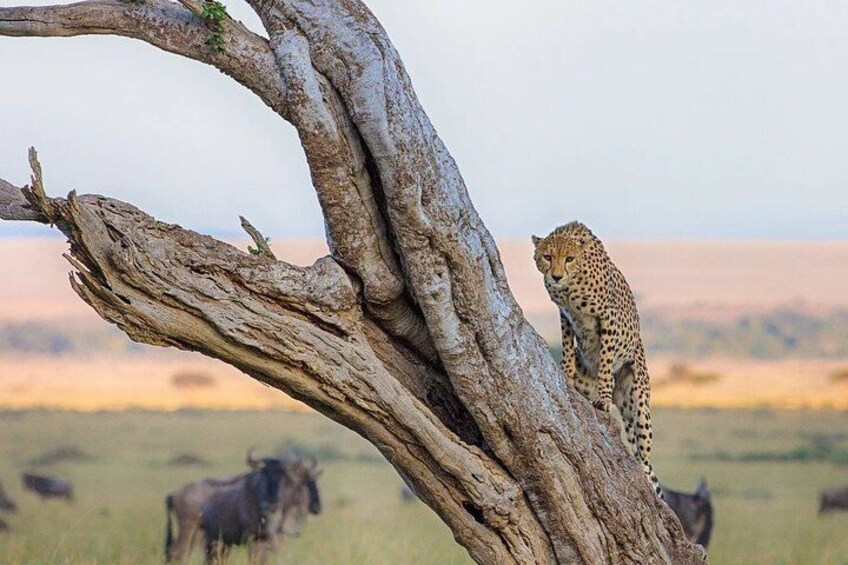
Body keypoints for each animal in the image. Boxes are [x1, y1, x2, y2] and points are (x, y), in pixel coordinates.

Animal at [532, 221, 662, 498]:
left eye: (569, 259)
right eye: (547, 257)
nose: (556, 276)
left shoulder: (608, 318)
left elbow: (605, 361)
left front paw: (603, 396)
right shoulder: (565, 315)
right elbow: (568, 349)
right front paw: (566, 373)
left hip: (639, 404)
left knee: (645, 457)